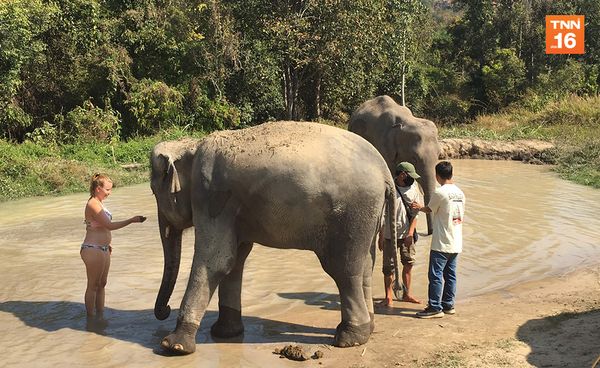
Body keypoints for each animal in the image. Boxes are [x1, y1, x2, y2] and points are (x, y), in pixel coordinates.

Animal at [149, 121, 398, 354]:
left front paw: (173, 346)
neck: (192, 146)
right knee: (366, 266)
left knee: (344, 269)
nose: (164, 311)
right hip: (369, 215)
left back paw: (348, 339)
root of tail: (384, 171)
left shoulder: (210, 195)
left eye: (153, 191)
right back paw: (368, 328)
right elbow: (234, 261)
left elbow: (216, 261)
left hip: (351, 215)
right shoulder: (233, 210)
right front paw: (225, 333)